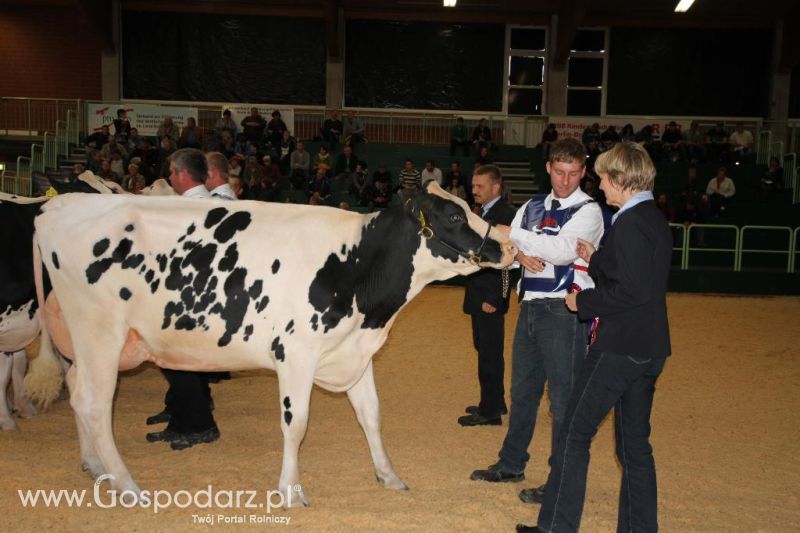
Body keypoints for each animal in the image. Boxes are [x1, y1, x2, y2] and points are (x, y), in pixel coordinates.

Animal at [28, 181, 516, 504]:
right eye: (454, 216)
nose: (508, 246)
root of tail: (59, 205)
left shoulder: (353, 352)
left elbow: (372, 417)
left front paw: (389, 475)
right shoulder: (296, 354)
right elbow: (296, 424)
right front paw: (291, 490)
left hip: (89, 341)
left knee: (78, 392)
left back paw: (96, 467)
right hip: (99, 333)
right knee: (94, 404)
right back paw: (128, 486)